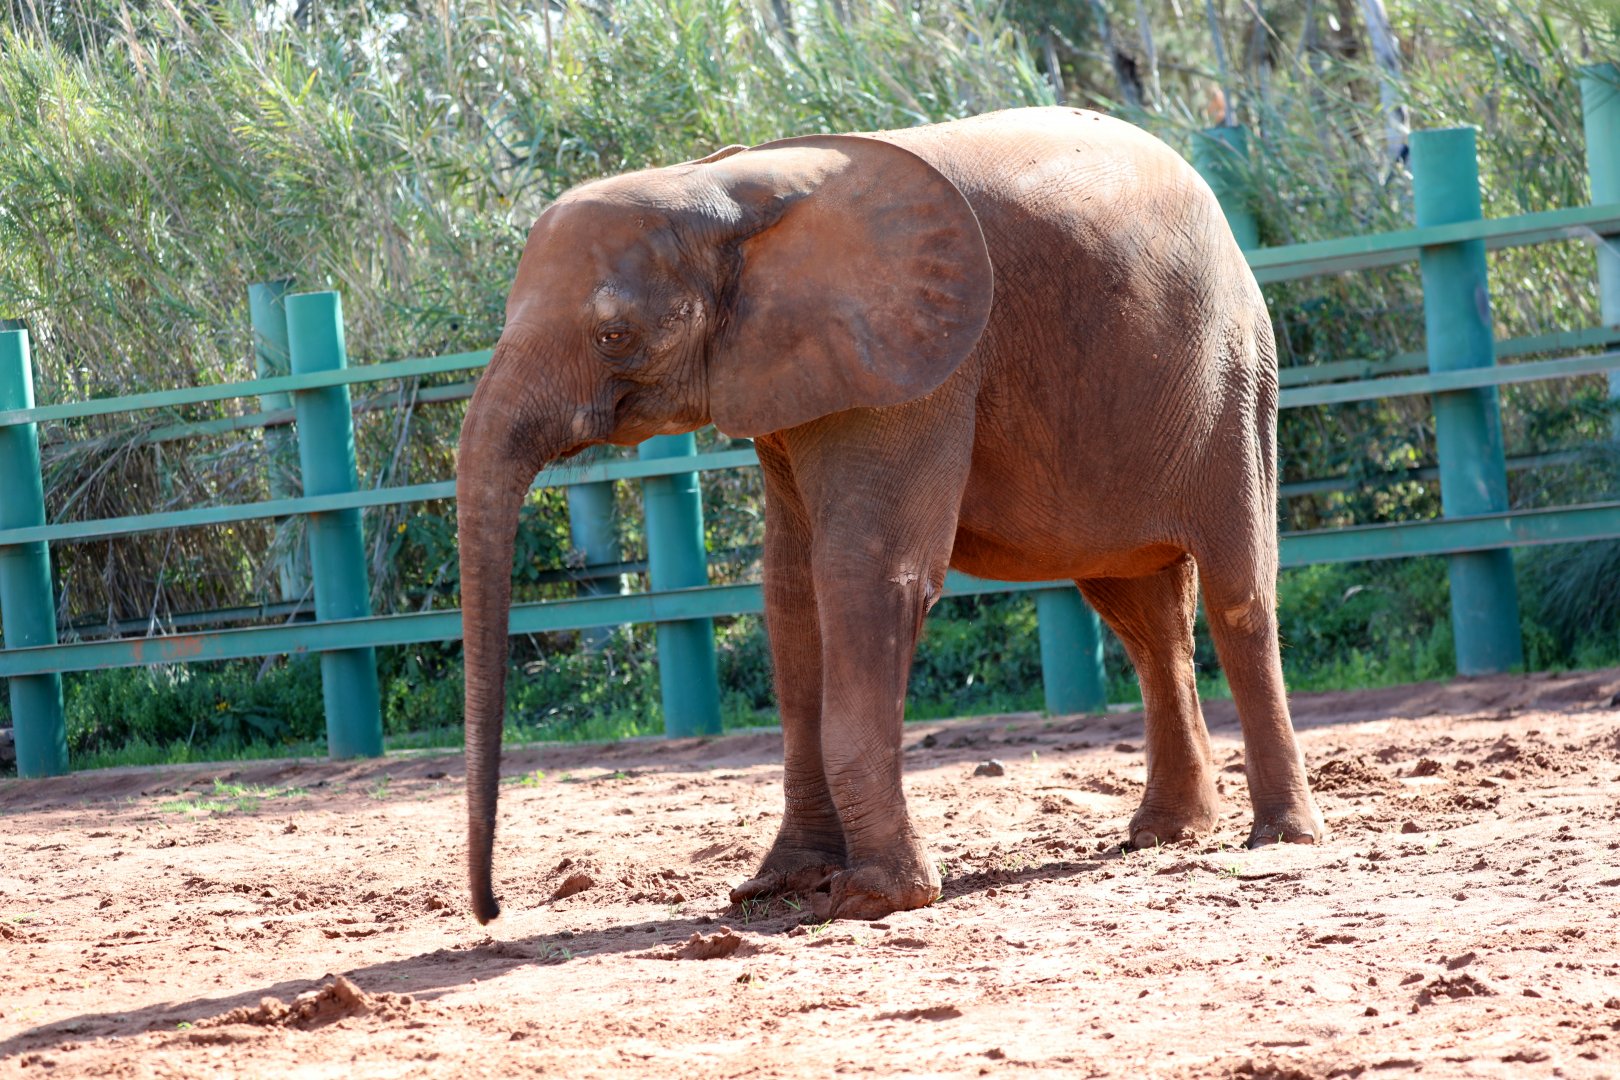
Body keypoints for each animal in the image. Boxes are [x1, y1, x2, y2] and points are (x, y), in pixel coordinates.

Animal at [457, 105, 1327, 926]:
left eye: (614, 335)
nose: (493, 909)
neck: (724, 186)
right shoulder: (797, 376)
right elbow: (791, 591)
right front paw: (779, 888)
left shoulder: (916, 363)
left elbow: (866, 574)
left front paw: (873, 899)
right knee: (1144, 616)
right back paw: (1161, 836)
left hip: (1233, 372)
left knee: (1238, 595)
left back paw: (1282, 840)